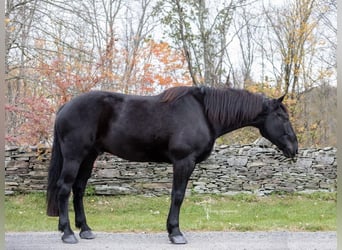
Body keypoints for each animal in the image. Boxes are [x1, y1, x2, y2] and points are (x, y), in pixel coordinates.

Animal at [45, 86, 296, 244]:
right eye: (283, 118)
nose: (294, 147)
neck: (203, 113)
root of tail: (65, 107)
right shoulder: (183, 162)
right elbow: (178, 196)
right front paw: (175, 233)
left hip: (89, 157)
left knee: (78, 189)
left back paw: (85, 230)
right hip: (75, 156)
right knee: (64, 189)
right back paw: (68, 233)